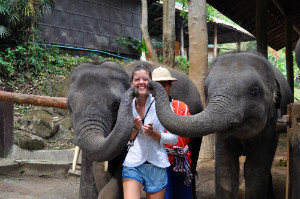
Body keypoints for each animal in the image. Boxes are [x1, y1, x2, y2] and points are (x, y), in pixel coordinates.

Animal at [150, 51, 292, 199]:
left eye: (254, 91)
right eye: (206, 92)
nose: (150, 83)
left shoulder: (271, 127)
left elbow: (255, 169)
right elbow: (225, 168)